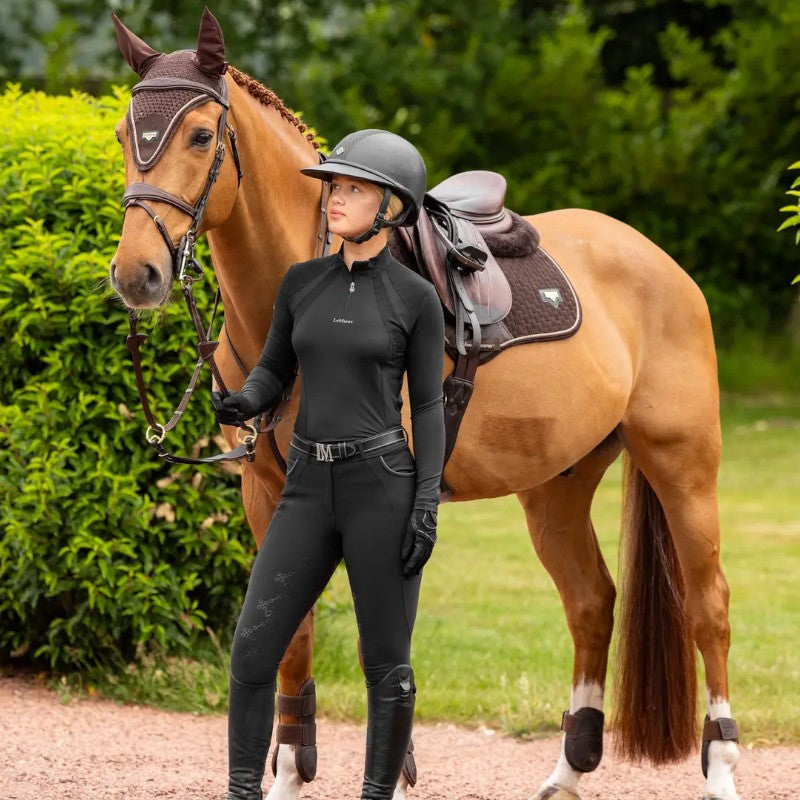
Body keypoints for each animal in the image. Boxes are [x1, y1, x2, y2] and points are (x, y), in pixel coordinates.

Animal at [108, 10, 740, 800]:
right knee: (593, 603)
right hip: (556, 488)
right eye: (125, 134)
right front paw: (290, 771)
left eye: (199, 136)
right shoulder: (269, 492)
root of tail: (662, 264)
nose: (136, 274)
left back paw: (722, 770)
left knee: (708, 607)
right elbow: (291, 633)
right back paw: (567, 770)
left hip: (683, 464)